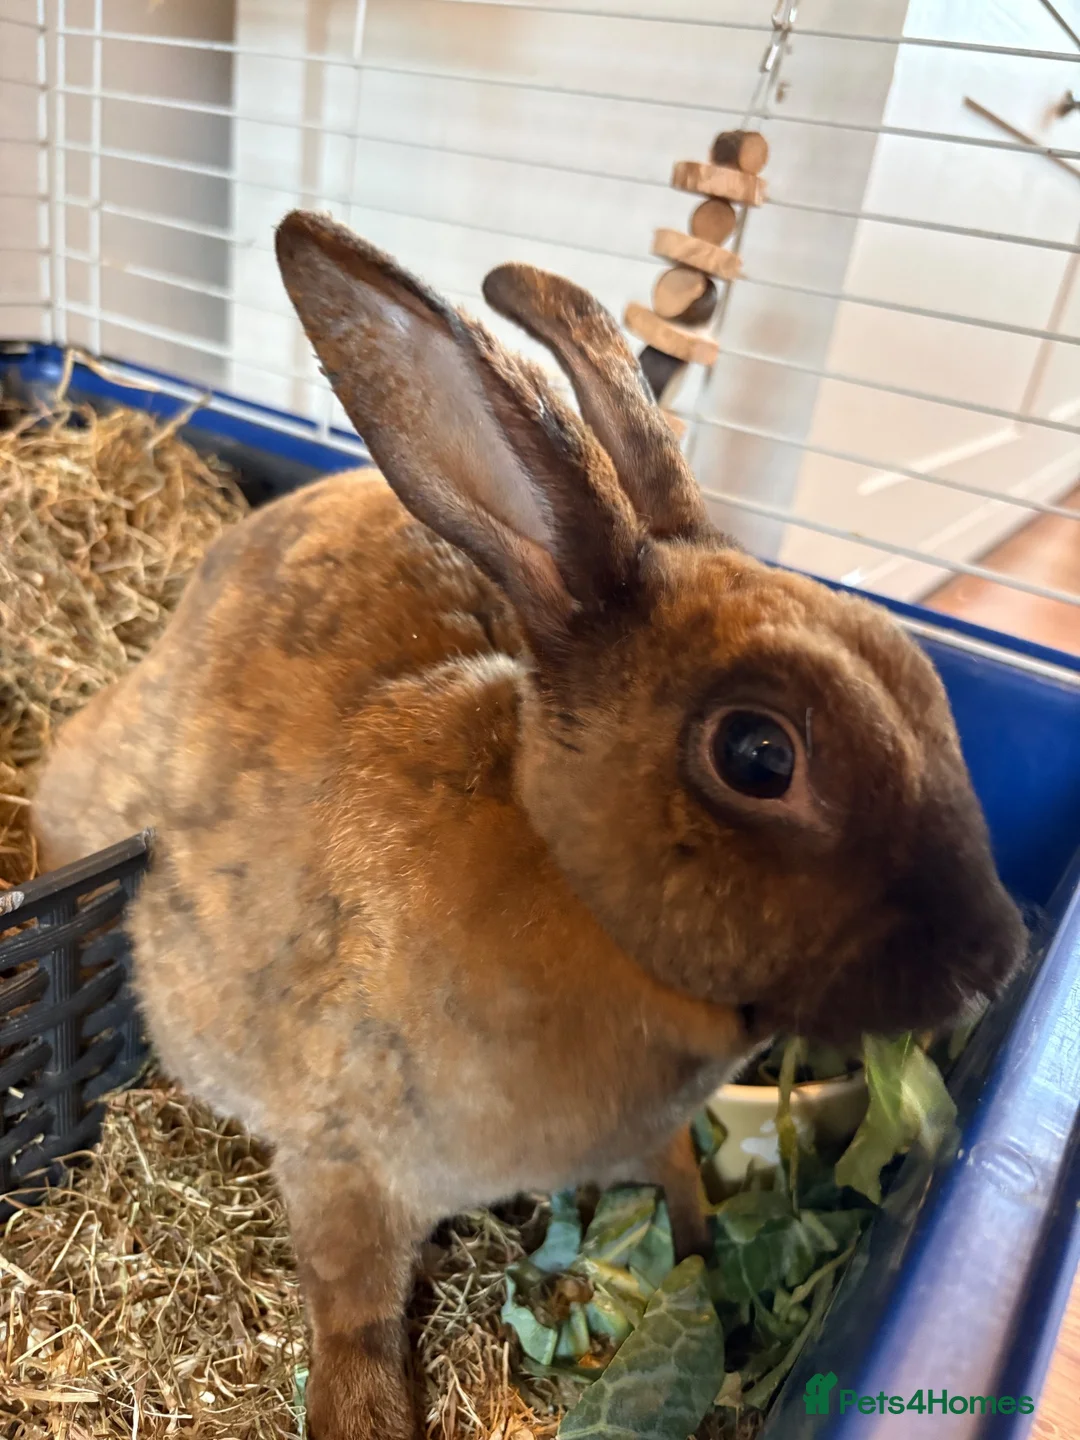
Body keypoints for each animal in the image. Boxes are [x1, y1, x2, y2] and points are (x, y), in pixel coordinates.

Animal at [33, 210, 1026, 1440]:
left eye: (921, 677)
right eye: (758, 756)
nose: (997, 958)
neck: (562, 872)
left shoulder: (646, 1133)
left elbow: (679, 1185)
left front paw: (699, 1266)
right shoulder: (345, 1163)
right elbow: (352, 1314)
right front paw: (365, 1419)